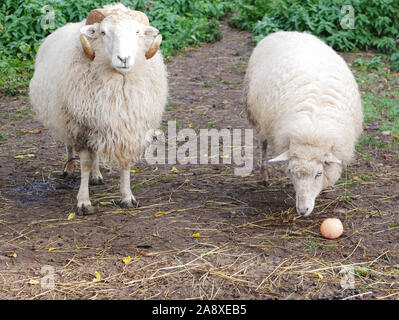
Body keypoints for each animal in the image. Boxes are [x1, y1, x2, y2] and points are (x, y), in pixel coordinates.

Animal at [29, 3, 167, 214]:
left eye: (137, 32)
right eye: (103, 32)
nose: (124, 58)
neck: (120, 84)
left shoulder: (128, 128)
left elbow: (125, 163)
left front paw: (127, 197)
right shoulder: (80, 127)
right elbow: (84, 164)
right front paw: (84, 202)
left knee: (95, 154)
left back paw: (96, 176)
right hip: (64, 117)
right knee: (69, 145)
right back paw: (69, 169)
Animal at [245, 31, 364, 216]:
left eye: (318, 174)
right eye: (291, 172)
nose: (302, 210)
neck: (312, 132)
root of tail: (284, 32)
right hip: (258, 116)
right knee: (262, 144)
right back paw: (264, 175)